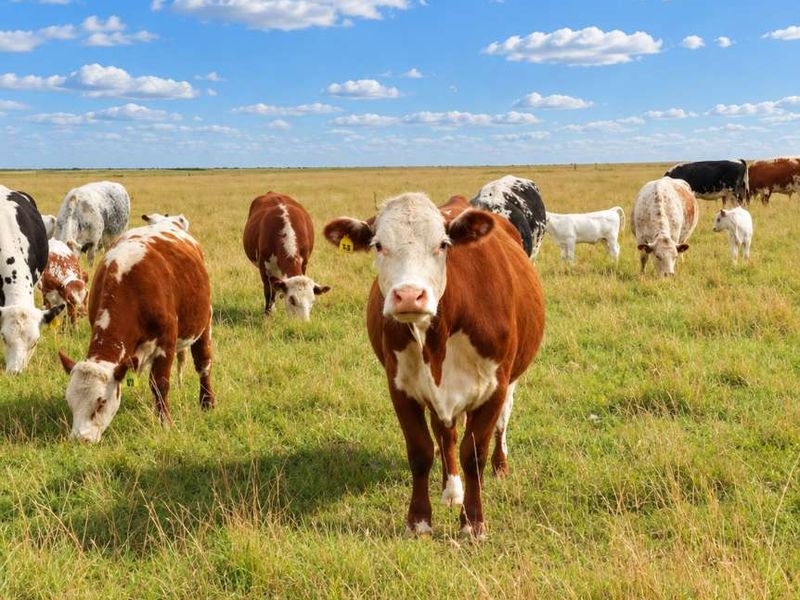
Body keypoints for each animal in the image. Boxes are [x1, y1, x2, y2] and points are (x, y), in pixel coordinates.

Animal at [57, 218, 215, 443]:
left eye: (101, 402)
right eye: (70, 402)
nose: (80, 438)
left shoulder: (166, 342)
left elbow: (160, 384)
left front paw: (165, 422)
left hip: (204, 322)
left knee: (204, 365)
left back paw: (207, 402)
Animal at [243, 192, 330, 320]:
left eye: (312, 301)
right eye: (292, 300)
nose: (304, 323)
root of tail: (271, 192)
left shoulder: (304, 262)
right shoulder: (264, 267)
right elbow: (269, 291)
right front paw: (268, 314)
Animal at [323, 192, 545, 540]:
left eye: (443, 244)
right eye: (378, 244)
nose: (409, 295)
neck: (438, 337)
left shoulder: (494, 387)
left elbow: (474, 454)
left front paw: (473, 523)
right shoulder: (401, 387)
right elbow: (422, 450)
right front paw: (419, 520)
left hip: (510, 381)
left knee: (501, 424)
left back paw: (500, 466)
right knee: (445, 433)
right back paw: (450, 489)